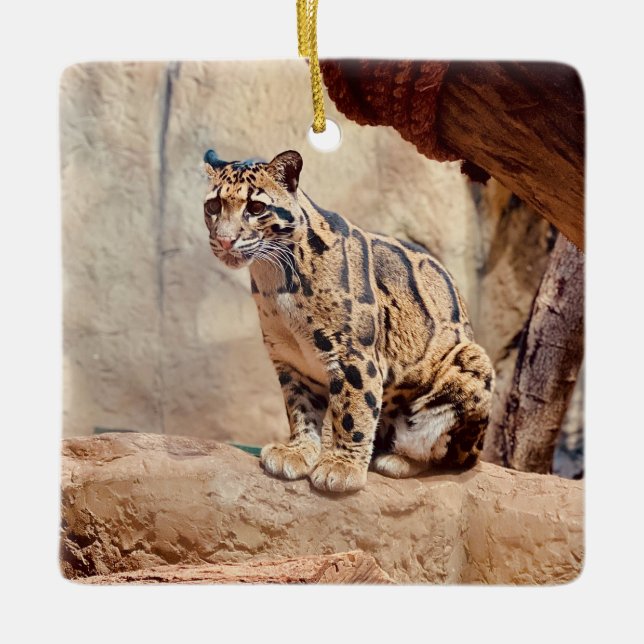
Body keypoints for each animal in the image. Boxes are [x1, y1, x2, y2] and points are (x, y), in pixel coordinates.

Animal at [202, 148, 494, 493]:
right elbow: (300, 409)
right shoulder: (291, 360)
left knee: (448, 455)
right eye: (213, 206)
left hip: (472, 364)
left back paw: (398, 459)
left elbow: (353, 410)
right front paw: (299, 451)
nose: (224, 240)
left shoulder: (353, 354)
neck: (274, 278)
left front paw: (341, 467)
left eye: (256, 208)